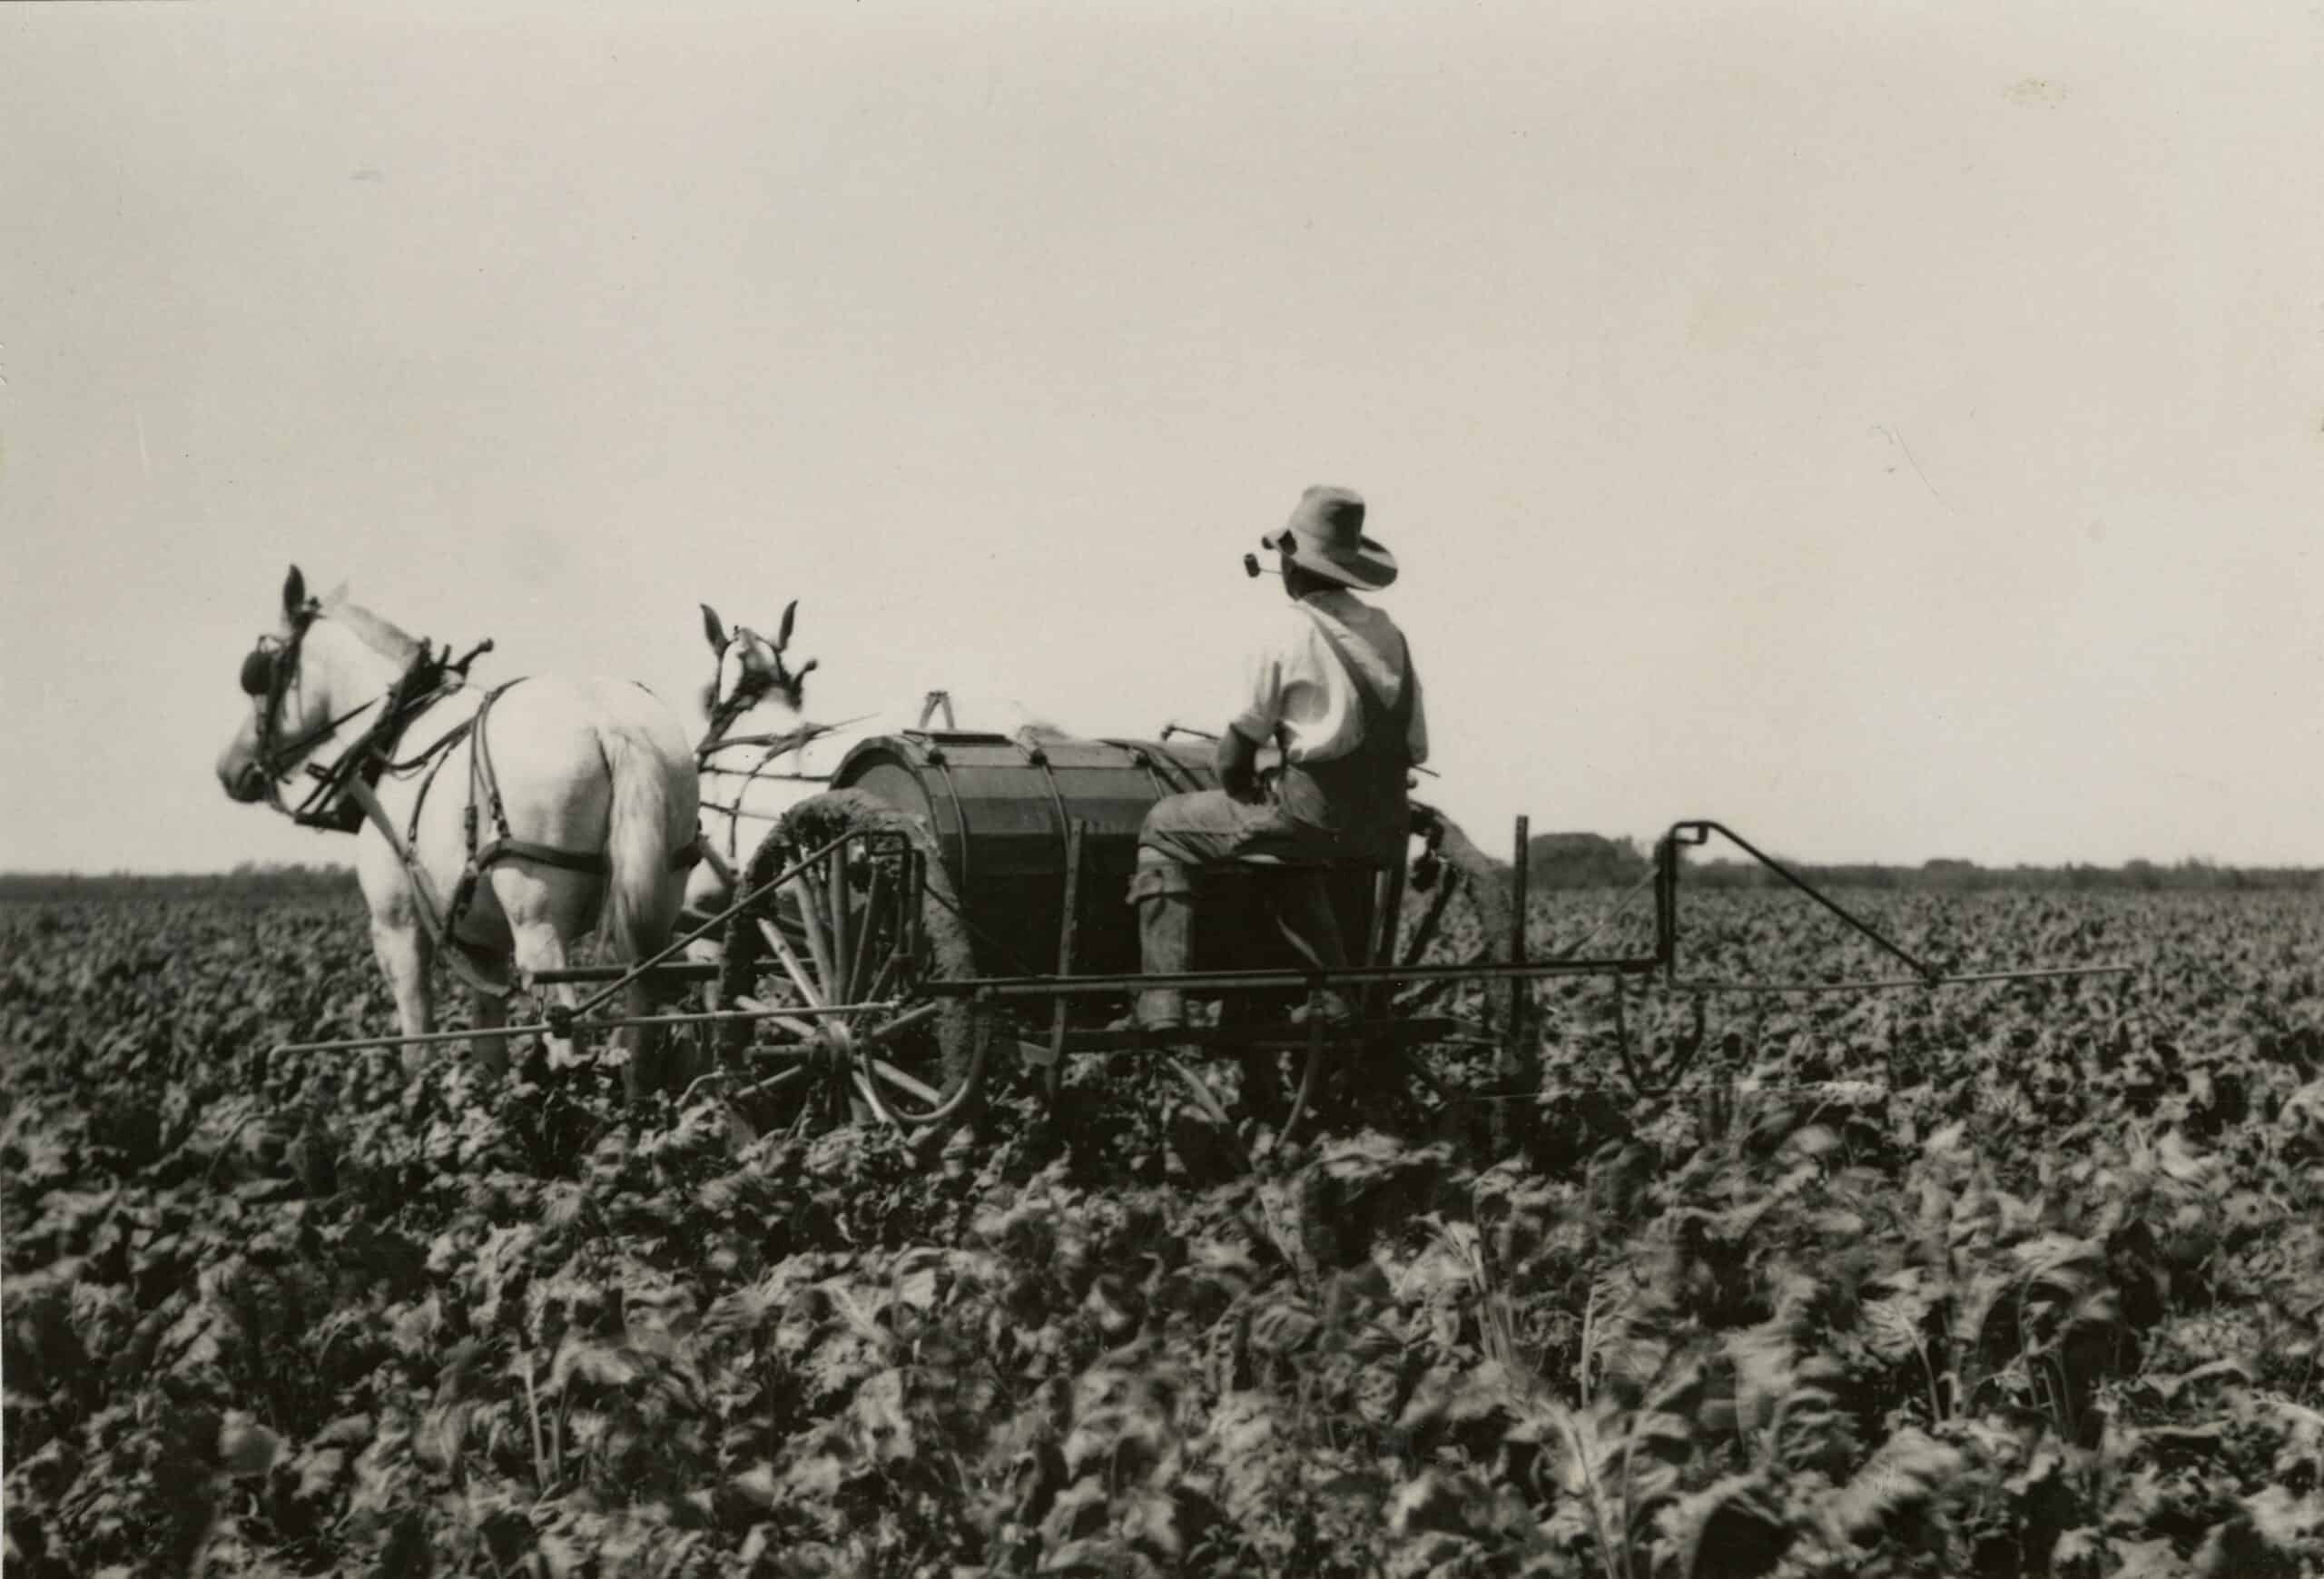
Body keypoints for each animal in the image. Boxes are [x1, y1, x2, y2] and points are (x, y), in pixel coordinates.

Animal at [218, 562, 697, 1092]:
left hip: (537, 918)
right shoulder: (482, 940)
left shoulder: (396, 923)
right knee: (641, 1012)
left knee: (565, 1031)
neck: (394, 728)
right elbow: (488, 1042)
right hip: (660, 897)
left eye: (257, 674)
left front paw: (418, 1097)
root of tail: (609, 720)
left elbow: (416, 1038)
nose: (231, 770)